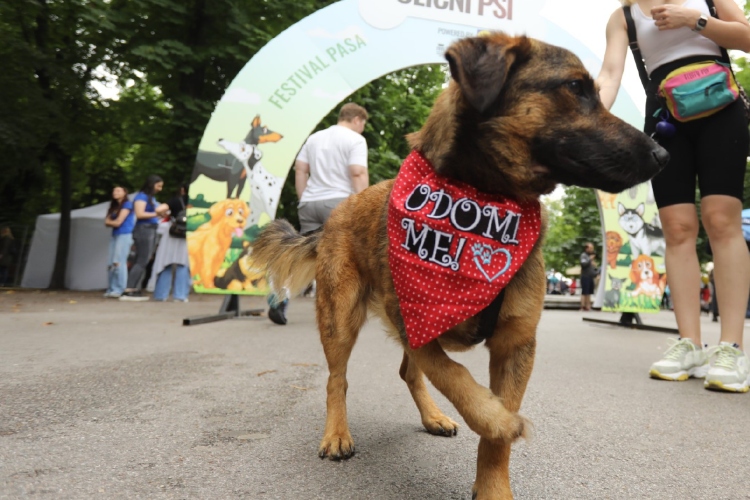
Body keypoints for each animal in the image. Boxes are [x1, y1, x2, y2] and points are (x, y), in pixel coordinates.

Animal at [253, 33, 668, 498]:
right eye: (576, 87)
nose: (663, 153)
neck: (482, 201)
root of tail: (334, 215)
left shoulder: (514, 345)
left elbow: (486, 424)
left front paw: (493, 483)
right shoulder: (418, 323)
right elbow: (458, 379)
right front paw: (502, 420)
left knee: (406, 372)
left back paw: (432, 416)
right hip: (341, 317)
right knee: (336, 378)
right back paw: (337, 433)